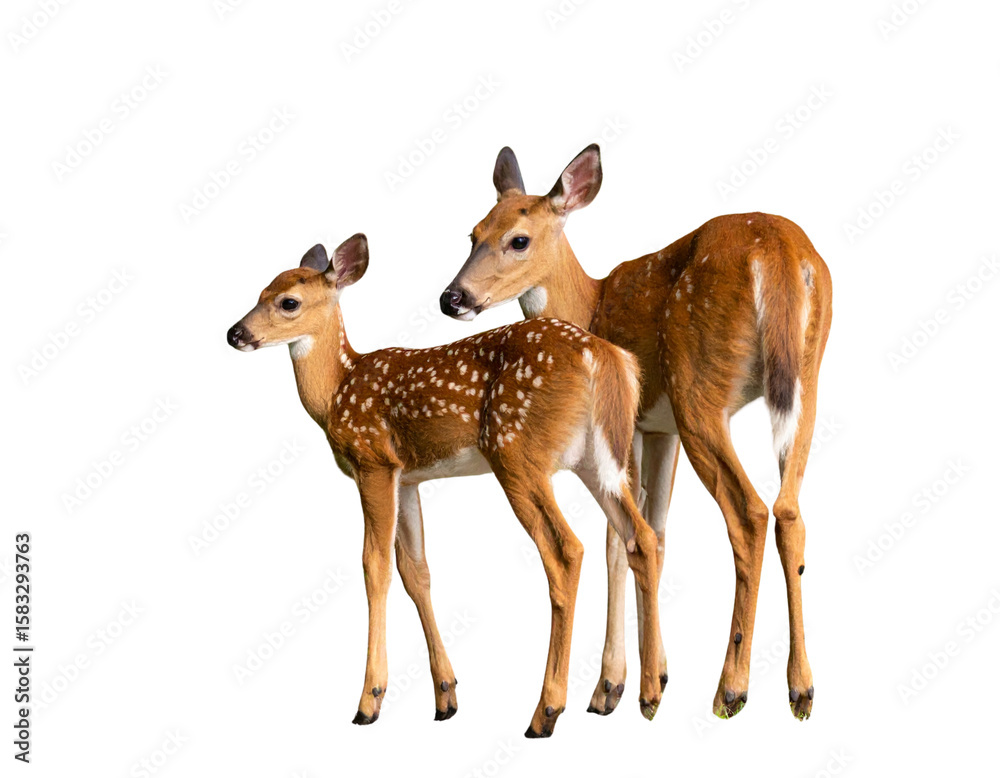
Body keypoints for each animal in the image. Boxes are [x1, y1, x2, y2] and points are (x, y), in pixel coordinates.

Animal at [226, 233, 665, 737]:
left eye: (288, 302)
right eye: (260, 291)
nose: (235, 333)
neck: (338, 389)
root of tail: (607, 357)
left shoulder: (373, 462)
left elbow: (374, 567)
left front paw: (369, 700)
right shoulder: (408, 477)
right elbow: (416, 572)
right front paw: (445, 696)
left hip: (517, 452)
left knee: (566, 549)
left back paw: (546, 711)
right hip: (600, 458)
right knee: (640, 537)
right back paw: (647, 695)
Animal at [439, 145, 833, 721]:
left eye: (519, 239)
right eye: (473, 233)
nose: (452, 298)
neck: (588, 306)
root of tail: (780, 253)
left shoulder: (629, 425)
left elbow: (616, 540)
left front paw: (613, 687)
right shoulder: (658, 427)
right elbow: (658, 533)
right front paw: (653, 674)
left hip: (699, 390)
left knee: (750, 513)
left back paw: (731, 688)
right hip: (806, 378)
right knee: (789, 511)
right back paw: (801, 689)